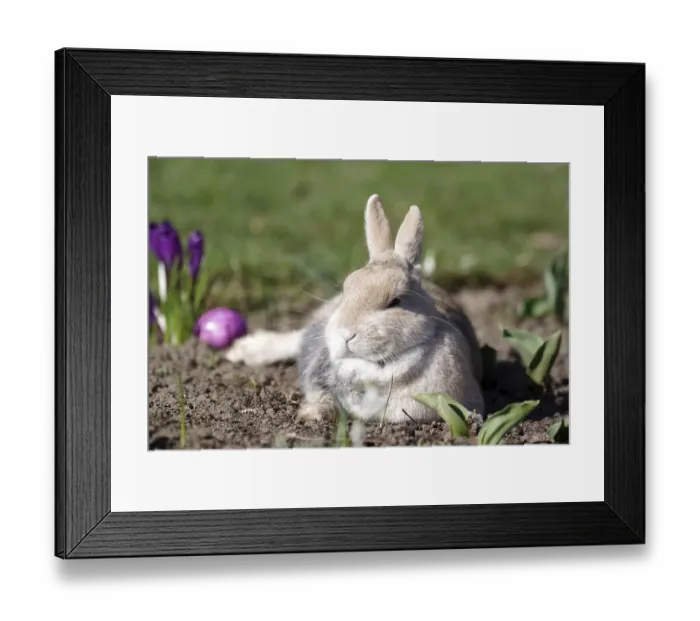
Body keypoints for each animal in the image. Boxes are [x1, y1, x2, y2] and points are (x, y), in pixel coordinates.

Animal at [226, 194, 484, 426]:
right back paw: (242, 350)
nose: (345, 333)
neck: (380, 366)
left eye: (395, 301)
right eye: (347, 288)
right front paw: (312, 414)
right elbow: (322, 396)